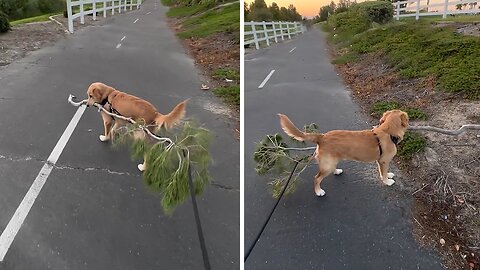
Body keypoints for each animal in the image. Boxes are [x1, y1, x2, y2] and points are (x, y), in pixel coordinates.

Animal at [278, 109, 408, 196]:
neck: (388, 132)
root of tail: (322, 137)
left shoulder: (380, 162)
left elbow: (383, 172)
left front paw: (388, 175)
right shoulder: (384, 161)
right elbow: (384, 174)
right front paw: (387, 181)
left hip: (331, 161)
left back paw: (336, 171)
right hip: (327, 166)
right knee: (316, 178)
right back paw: (318, 191)